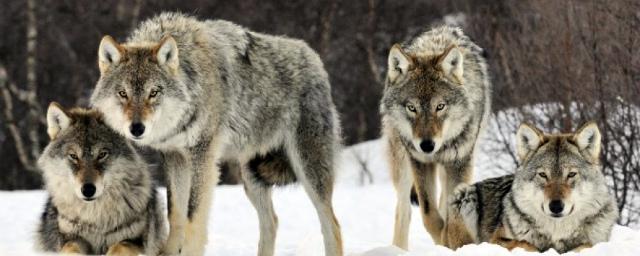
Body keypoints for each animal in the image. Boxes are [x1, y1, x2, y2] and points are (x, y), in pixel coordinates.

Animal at [35, 103, 166, 255]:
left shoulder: (135, 241)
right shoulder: (71, 238)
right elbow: (71, 248)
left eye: (102, 154)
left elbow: (119, 247)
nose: (88, 190)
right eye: (73, 156)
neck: (95, 218)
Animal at [89, 12, 344, 256]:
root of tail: (314, 58)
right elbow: (175, 213)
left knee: (332, 224)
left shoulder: (203, 156)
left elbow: (193, 216)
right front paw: (170, 251)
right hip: (251, 177)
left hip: (308, 170)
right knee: (271, 222)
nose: (136, 128)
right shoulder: (174, 157)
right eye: (123, 93)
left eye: (154, 93)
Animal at [380, 26, 490, 248]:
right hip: (402, 166)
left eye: (440, 106)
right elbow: (429, 214)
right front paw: (442, 239)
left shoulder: (460, 162)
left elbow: (450, 212)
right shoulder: (420, 162)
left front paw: (452, 241)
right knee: (403, 211)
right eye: (412, 108)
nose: (427, 145)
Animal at [444, 121, 620, 252]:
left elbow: (586, 245)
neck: (556, 233)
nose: (556, 206)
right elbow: (525, 244)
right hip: (464, 195)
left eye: (571, 175)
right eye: (543, 175)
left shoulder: (596, 241)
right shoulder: (497, 239)